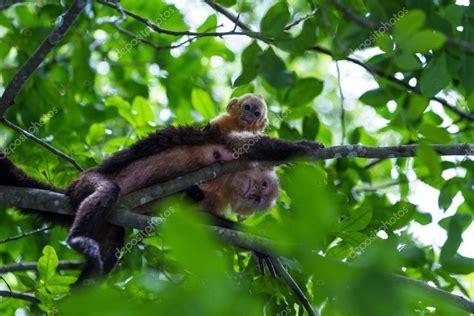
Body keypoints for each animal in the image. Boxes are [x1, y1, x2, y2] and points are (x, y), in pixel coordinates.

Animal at [0, 124, 324, 280]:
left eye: (259, 197)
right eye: (262, 186)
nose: (253, 193)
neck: (227, 184)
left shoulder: (217, 200)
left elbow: (201, 219)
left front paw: (255, 243)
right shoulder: (229, 151)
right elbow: (259, 146)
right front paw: (304, 148)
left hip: (108, 227)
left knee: (109, 251)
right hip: (85, 183)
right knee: (106, 190)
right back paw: (79, 238)